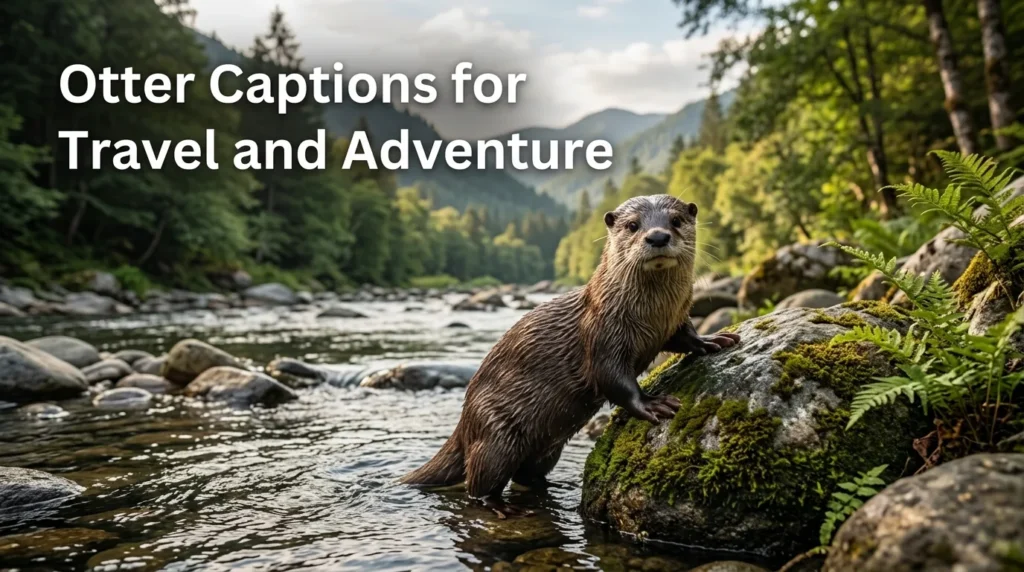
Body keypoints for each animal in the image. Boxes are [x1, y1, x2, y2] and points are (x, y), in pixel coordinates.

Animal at [402, 195, 740, 517]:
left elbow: (684, 336)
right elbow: (614, 380)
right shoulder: (603, 335)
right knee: (479, 482)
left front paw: (711, 339)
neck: (652, 315)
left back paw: (556, 486)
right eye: (632, 225)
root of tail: (465, 420)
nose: (657, 236)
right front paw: (651, 403)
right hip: (496, 433)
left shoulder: (676, 318)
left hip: (546, 448)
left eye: (676, 220)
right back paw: (501, 506)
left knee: (526, 474)